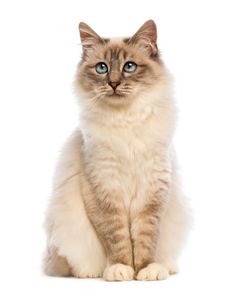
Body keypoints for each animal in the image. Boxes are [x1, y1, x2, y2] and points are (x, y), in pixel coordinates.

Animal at [43, 18, 191, 280]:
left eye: (129, 67)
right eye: (101, 68)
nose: (113, 83)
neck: (125, 119)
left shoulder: (152, 193)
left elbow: (145, 240)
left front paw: (145, 270)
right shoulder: (104, 190)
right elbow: (117, 239)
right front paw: (121, 269)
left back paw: (167, 266)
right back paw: (89, 273)